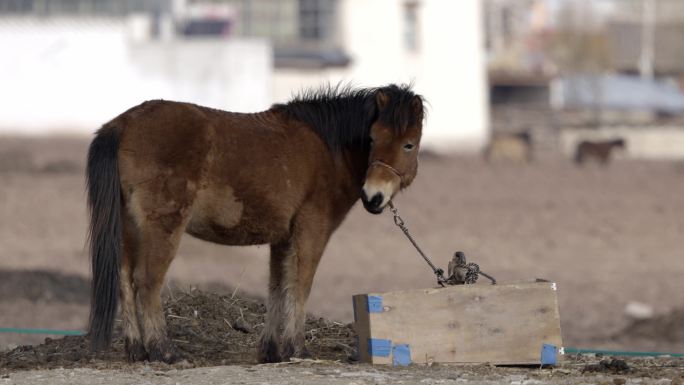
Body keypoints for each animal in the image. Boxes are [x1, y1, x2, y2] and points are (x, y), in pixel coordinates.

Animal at [87, 84, 422, 364]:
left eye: (408, 144)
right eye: (372, 139)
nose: (373, 196)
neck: (328, 149)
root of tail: (123, 124)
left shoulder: (283, 238)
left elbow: (277, 287)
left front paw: (272, 351)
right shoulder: (312, 230)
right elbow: (300, 285)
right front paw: (298, 349)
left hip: (128, 228)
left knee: (124, 278)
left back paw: (136, 350)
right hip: (161, 227)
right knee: (146, 282)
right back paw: (164, 352)